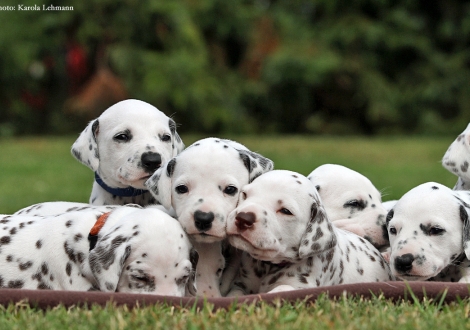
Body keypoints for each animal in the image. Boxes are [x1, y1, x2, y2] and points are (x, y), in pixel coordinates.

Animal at [224, 170, 392, 294]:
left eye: (285, 211)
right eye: (245, 195)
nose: (243, 218)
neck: (268, 267)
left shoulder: (300, 286)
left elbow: (281, 289)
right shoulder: (241, 285)